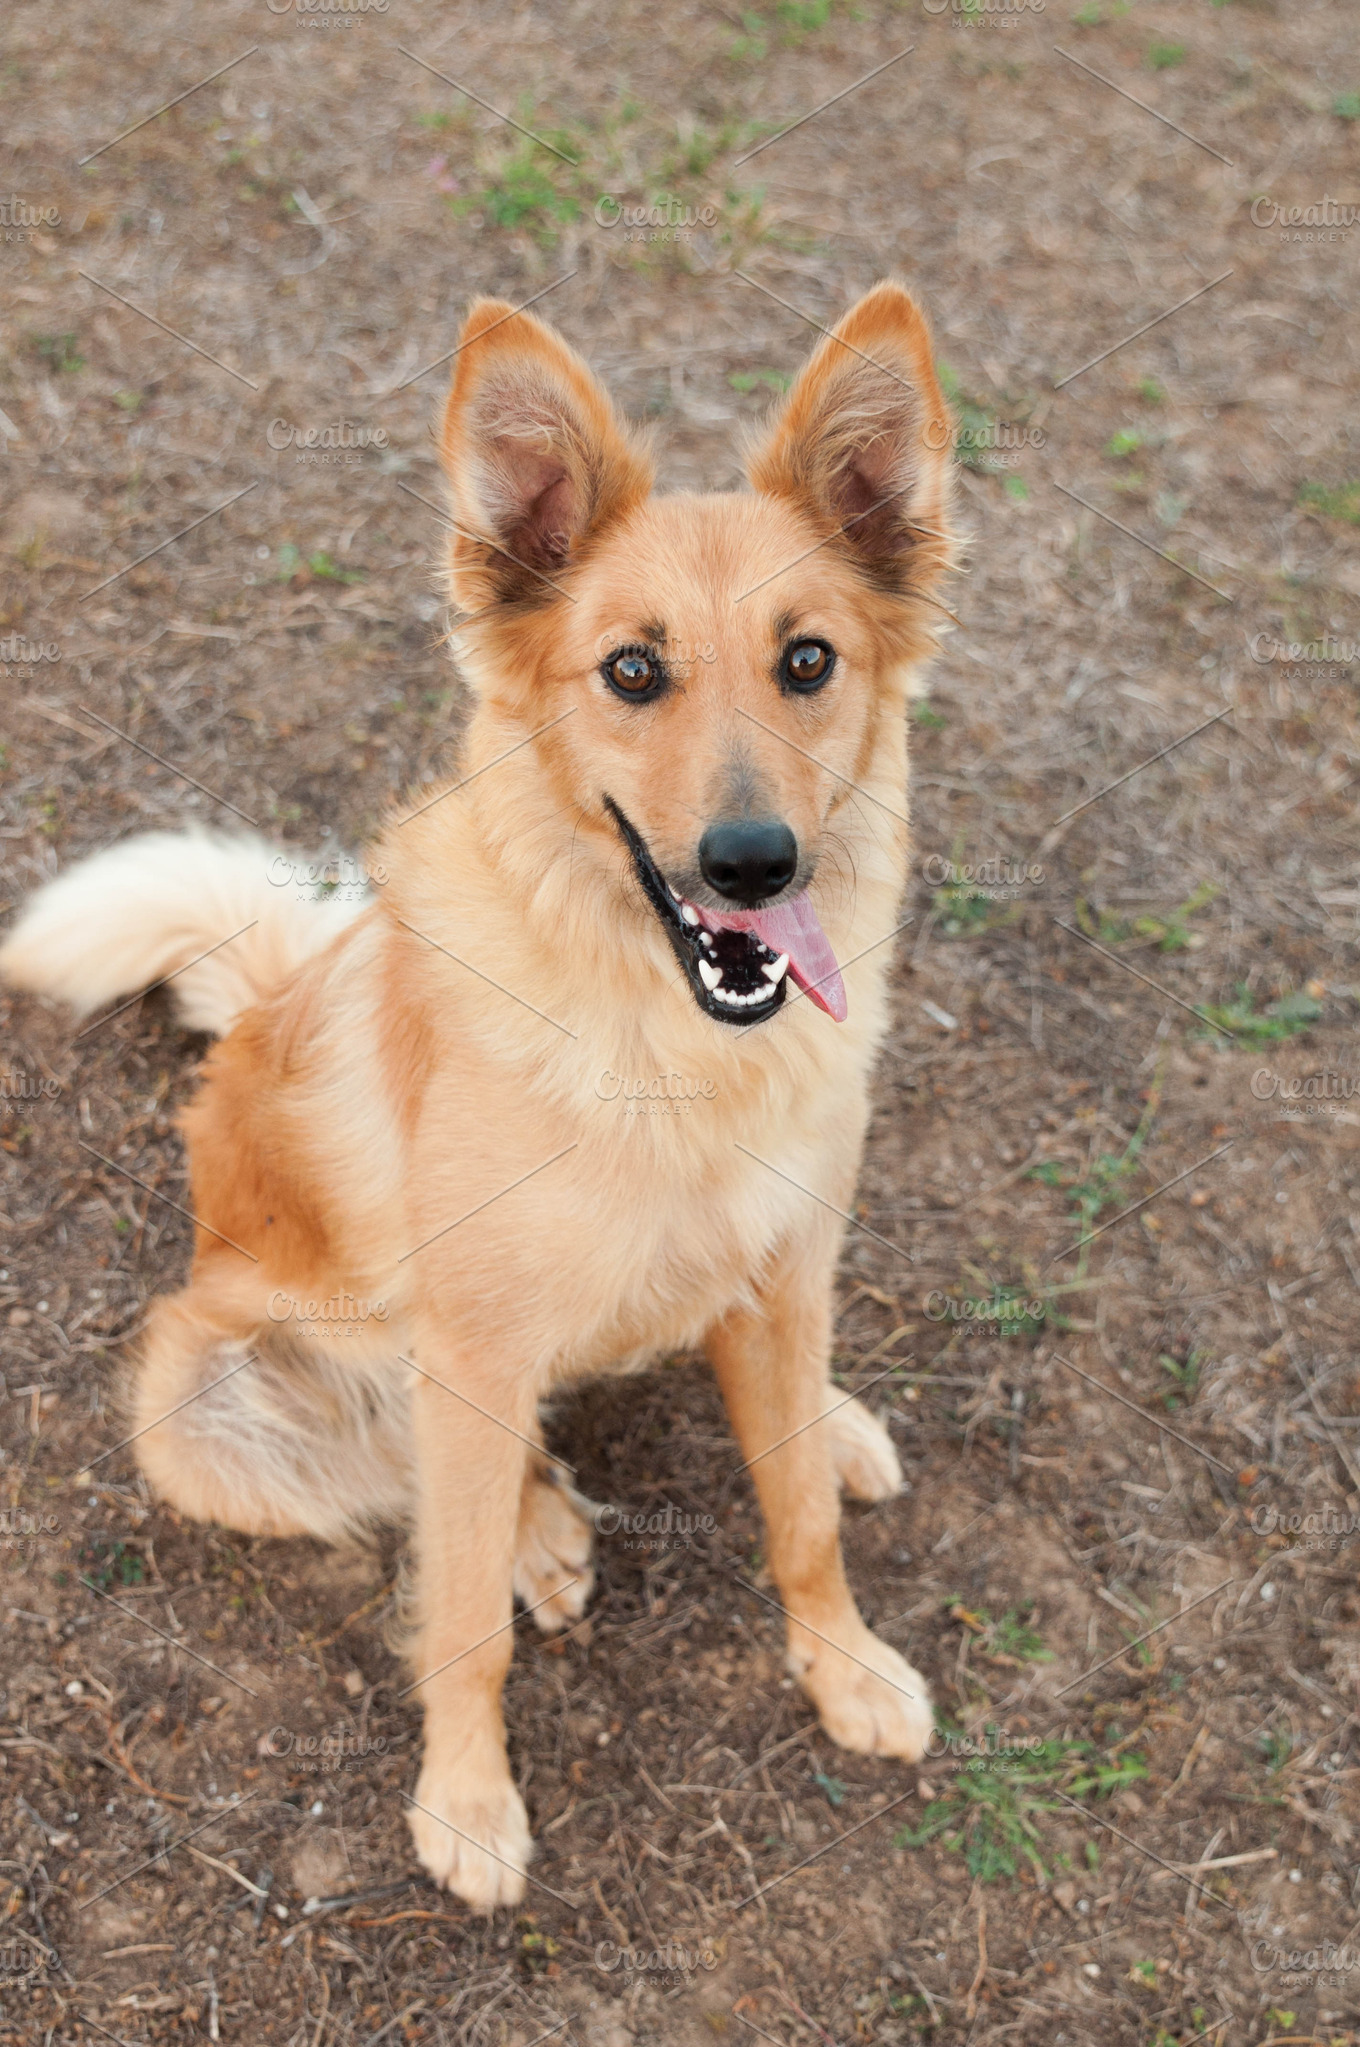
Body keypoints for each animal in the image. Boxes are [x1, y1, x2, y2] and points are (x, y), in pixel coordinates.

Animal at [2, 280, 954, 1907]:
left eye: (809, 660)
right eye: (631, 669)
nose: (751, 863)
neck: (667, 1042)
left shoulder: (785, 1265)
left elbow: (803, 1523)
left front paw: (843, 1664)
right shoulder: (475, 1347)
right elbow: (457, 1623)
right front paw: (465, 1800)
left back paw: (805, 1425)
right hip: (206, 1409)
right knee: (402, 1458)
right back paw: (537, 1523)